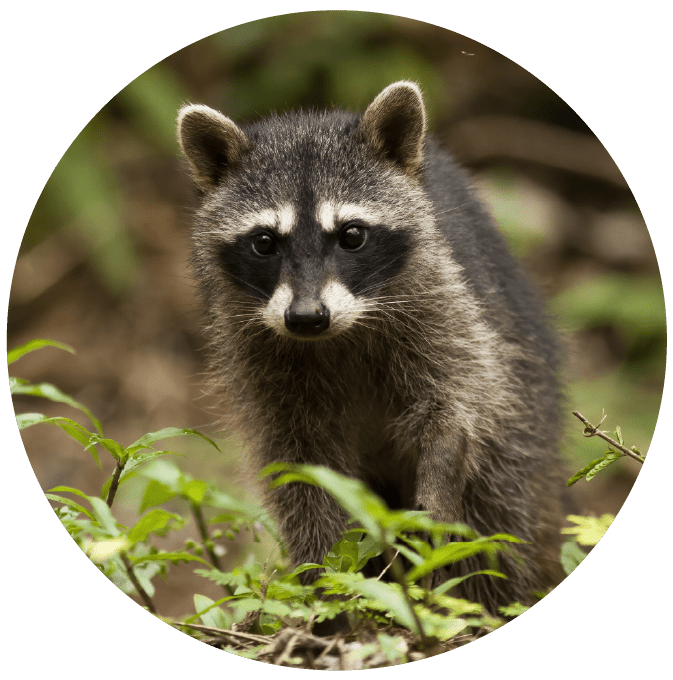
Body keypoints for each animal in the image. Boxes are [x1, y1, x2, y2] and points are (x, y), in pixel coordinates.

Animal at [177, 81, 565, 612]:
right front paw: (326, 578)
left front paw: (440, 470)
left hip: (524, 406)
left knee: (499, 506)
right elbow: (300, 468)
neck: (338, 333)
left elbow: (459, 396)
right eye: (264, 243)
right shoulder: (257, 355)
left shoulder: (444, 301)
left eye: (352, 236)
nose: (306, 318)